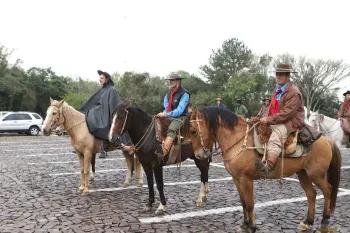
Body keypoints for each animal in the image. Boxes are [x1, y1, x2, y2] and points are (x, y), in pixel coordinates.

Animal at [186, 107, 342, 233]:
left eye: (193, 131)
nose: (199, 155)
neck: (237, 139)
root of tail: (327, 140)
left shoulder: (246, 179)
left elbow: (250, 203)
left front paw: (252, 227)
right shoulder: (236, 179)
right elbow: (243, 202)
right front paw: (244, 225)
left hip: (317, 175)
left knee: (328, 191)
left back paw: (324, 221)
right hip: (303, 174)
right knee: (312, 194)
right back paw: (307, 222)